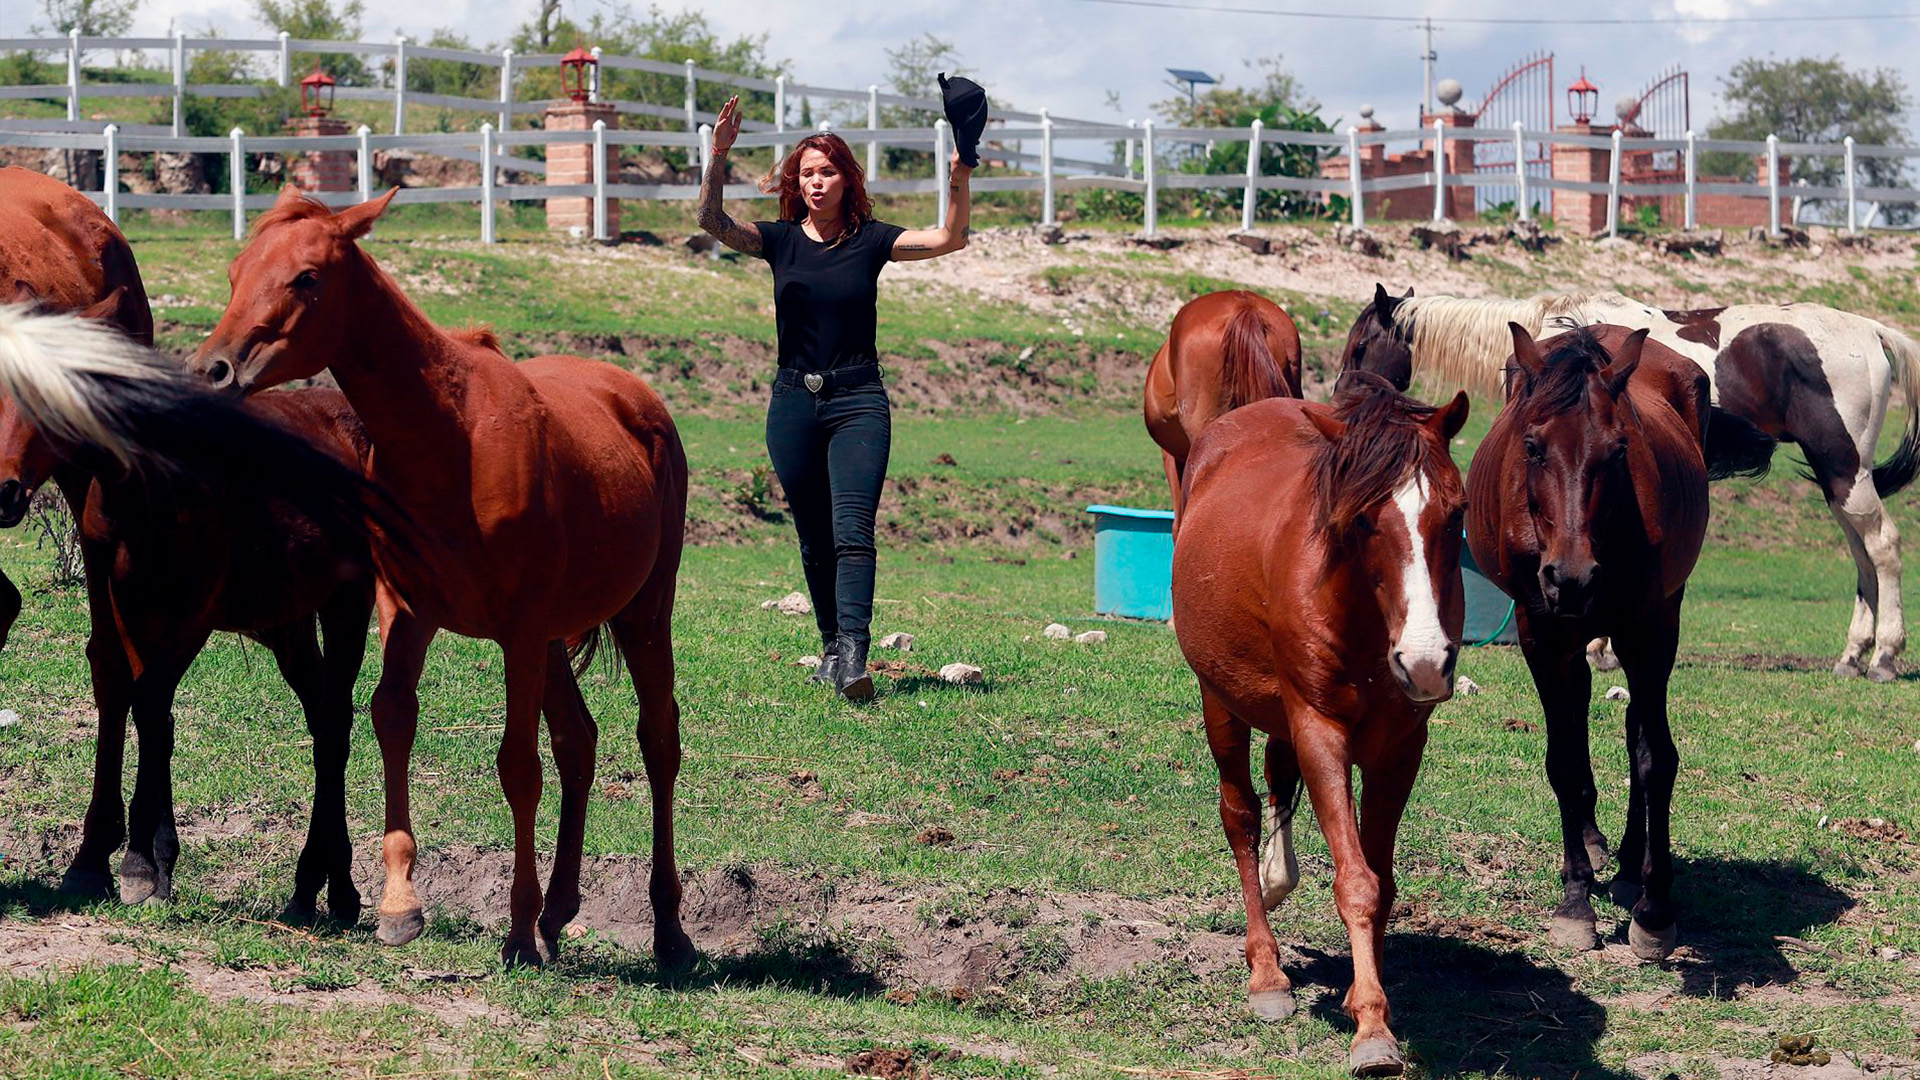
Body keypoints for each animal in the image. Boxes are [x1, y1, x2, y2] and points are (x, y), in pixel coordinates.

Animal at [187, 187, 695, 968]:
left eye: (306, 277)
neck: (451, 438)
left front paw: (515, 935)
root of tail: (639, 397)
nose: (213, 369)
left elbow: (518, 767)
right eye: (237, 271)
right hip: (554, 639)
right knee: (579, 741)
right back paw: (559, 911)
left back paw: (666, 930)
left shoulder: (518, 629)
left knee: (657, 741)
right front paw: (401, 904)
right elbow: (393, 718)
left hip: (641, 614)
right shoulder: (407, 608)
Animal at [1167, 372, 1466, 1076]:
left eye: (1458, 513)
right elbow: (1355, 882)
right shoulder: (1320, 731)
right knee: (1241, 815)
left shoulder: (1400, 748)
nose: (1425, 660)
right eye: (1362, 519)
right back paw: (1267, 974)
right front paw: (1372, 1031)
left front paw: (1369, 1000)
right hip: (1221, 702)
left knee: (1277, 786)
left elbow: (1381, 881)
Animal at [1336, 286, 1920, 672]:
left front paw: (1601, 649)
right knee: (1863, 556)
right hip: (1840, 483)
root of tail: (1872, 330)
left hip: (1845, 472)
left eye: (1361, 344)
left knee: (1884, 548)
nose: (1341, 399)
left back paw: (1885, 655)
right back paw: (1854, 653)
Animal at [1466, 320, 1766, 957]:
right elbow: (1564, 761)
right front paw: (1576, 900)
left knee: (1631, 734)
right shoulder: (1543, 634)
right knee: (1577, 726)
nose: (1571, 578)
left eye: (1619, 449)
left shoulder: (1649, 629)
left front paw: (1654, 909)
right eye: (1532, 446)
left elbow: (1654, 757)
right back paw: (1593, 846)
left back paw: (1630, 862)